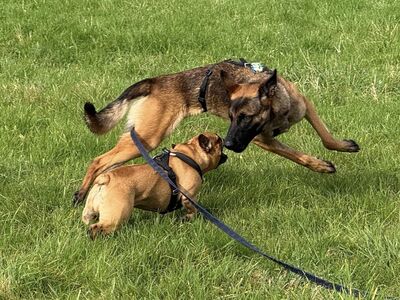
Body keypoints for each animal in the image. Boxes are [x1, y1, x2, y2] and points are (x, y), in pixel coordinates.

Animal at [74, 58, 360, 205]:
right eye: (231, 117)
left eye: (245, 118)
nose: (229, 144)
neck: (277, 109)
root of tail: (155, 82)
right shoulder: (263, 140)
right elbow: (295, 154)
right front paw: (320, 166)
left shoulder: (305, 105)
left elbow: (325, 137)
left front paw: (343, 146)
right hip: (147, 137)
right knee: (98, 160)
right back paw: (80, 194)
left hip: (139, 140)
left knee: (108, 163)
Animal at [80, 131, 228, 239]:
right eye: (218, 141)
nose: (224, 139)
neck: (191, 154)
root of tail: (106, 178)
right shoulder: (189, 196)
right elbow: (193, 209)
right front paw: (188, 218)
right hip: (116, 215)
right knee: (97, 228)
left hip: (89, 211)